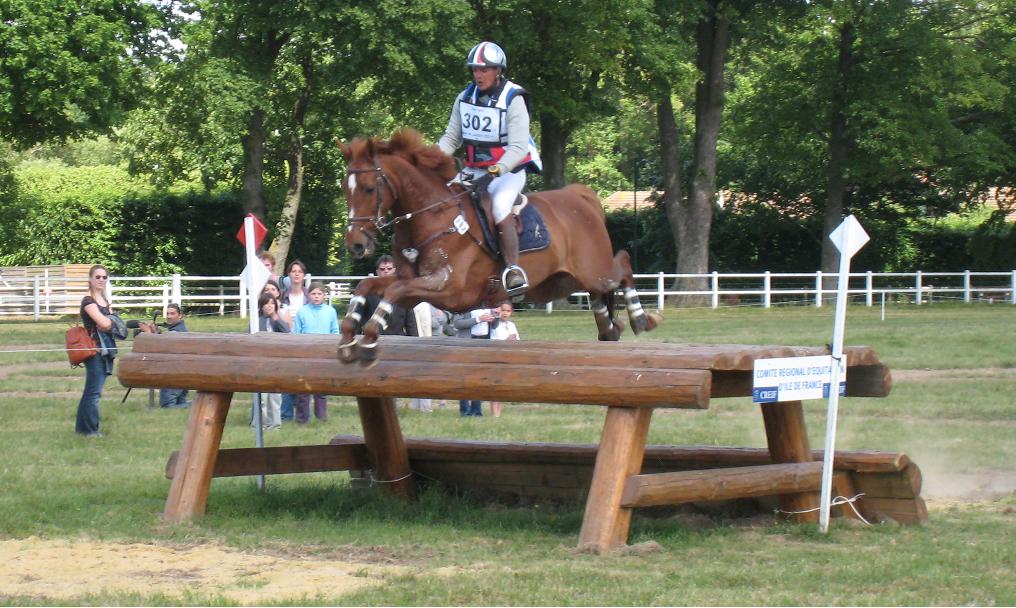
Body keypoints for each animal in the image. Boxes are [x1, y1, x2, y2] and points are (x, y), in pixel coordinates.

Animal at [337, 128, 662, 361]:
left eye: (369, 189)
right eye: (345, 189)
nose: (355, 245)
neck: (431, 216)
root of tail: (582, 197)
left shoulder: (448, 288)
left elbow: (393, 291)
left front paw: (369, 336)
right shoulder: (413, 284)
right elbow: (369, 286)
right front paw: (348, 335)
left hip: (593, 269)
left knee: (623, 264)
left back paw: (641, 319)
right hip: (560, 282)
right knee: (599, 296)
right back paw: (609, 328)